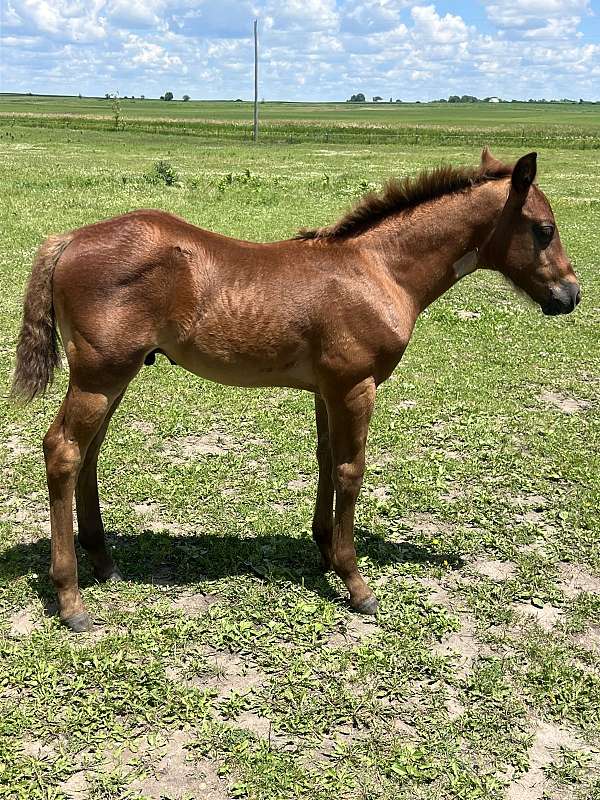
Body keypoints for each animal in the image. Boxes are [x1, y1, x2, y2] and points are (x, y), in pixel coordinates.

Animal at [11, 148, 580, 632]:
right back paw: (71, 599)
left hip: (116, 377)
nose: (570, 295)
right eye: (544, 229)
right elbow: (351, 471)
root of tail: (67, 239)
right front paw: (356, 583)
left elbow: (327, 461)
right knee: (64, 451)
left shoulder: (328, 389)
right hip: (100, 375)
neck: (379, 271)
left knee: (89, 453)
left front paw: (325, 551)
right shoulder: (356, 386)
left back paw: (104, 562)